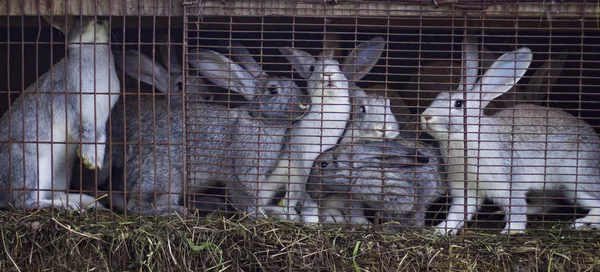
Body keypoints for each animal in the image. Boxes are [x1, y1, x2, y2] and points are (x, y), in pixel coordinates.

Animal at [0, 15, 120, 210]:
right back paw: (67, 206)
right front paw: (89, 159)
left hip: (60, 171)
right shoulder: (71, 106)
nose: (100, 19)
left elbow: (101, 137)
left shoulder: (100, 119)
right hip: (29, 164)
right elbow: (84, 131)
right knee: (24, 202)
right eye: (78, 18)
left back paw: (83, 202)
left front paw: (95, 162)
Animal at [102, 47, 310, 216]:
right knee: (138, 206)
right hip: (167, 177)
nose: (305, 103)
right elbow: (245, 197)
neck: (259, 120)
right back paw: (177, 211)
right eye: (273, 91)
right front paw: (257, 214)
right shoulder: (241, 171)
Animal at [420, 39, 600, 235]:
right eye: (438, 96)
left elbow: (516, 209)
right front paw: (441, 230)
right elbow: (458, 213)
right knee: (548, 204)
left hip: (576, 181)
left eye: (459, 104)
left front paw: (512, 231)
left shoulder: (509, 183)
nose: (426, 116)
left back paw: (582, 223)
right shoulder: (465, 189)